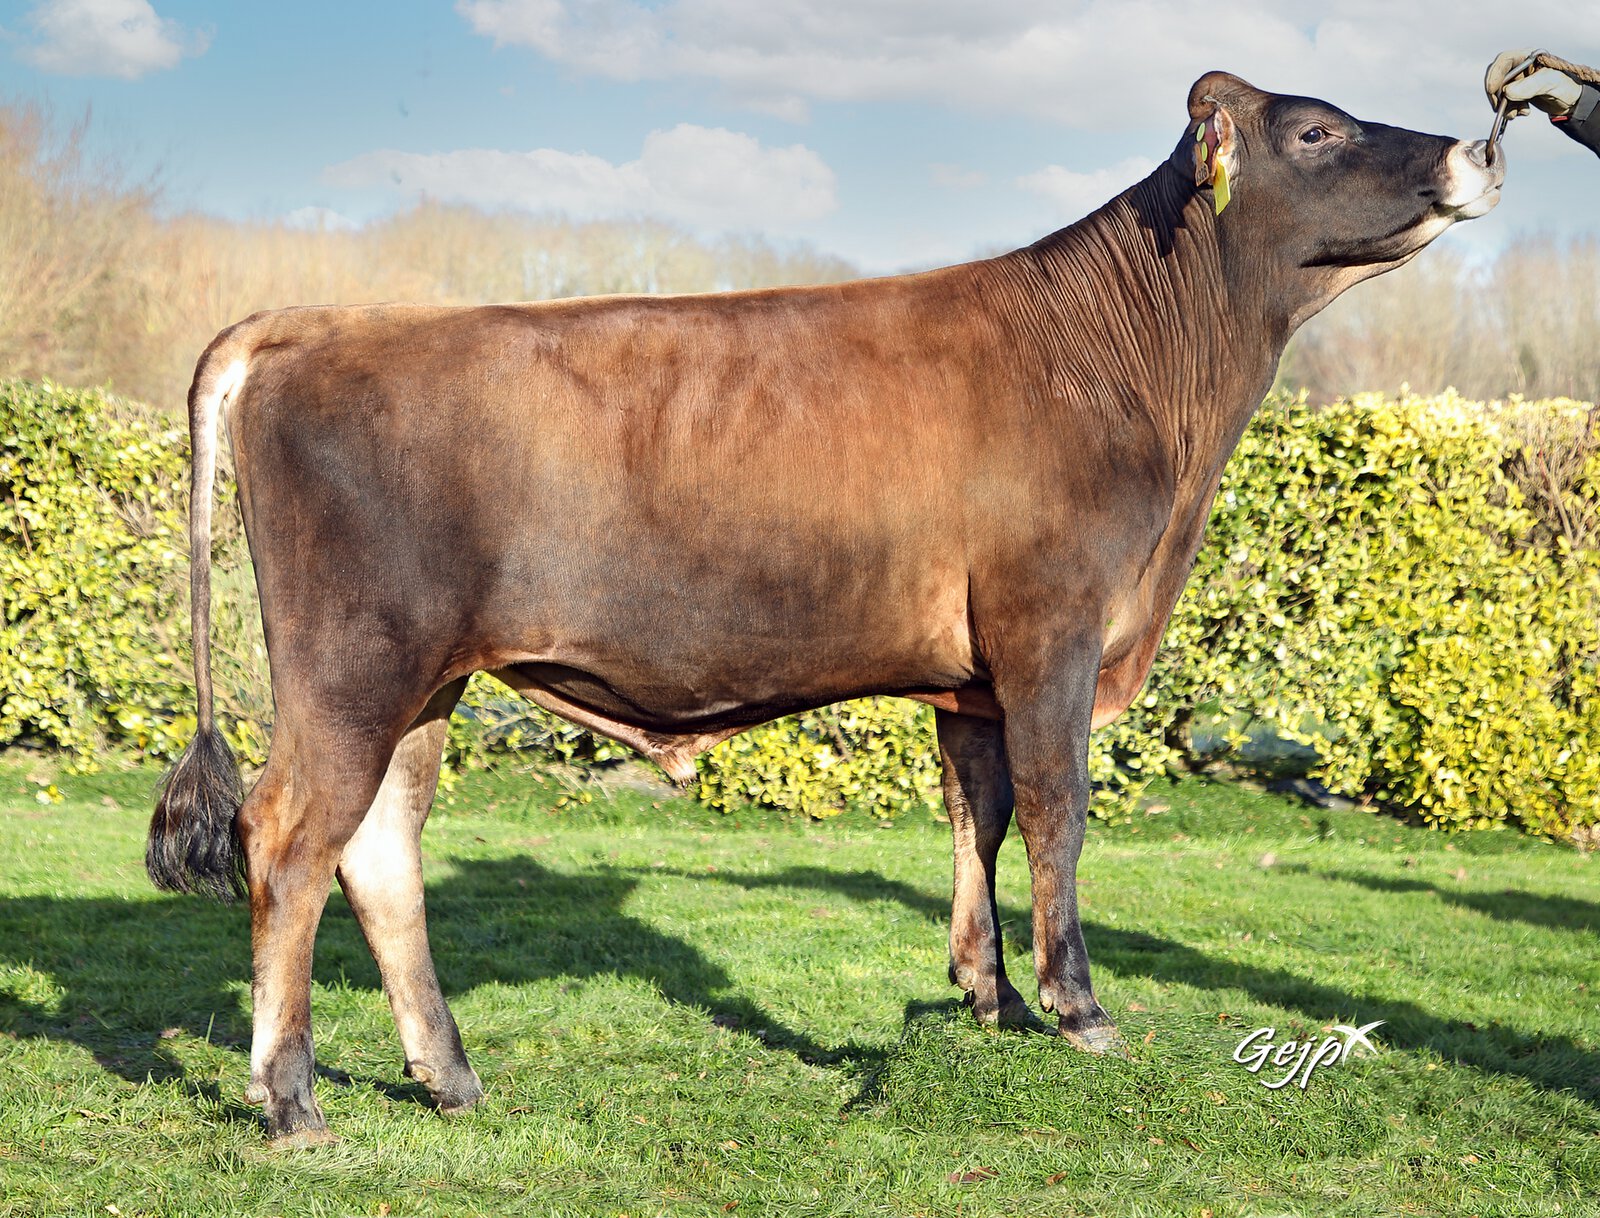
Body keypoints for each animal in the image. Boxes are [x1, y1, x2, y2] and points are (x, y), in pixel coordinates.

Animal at [148, 71, 1503, 1142]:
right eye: (1315, 132)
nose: (1476, 150)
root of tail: (315, 322)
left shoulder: (972, 677)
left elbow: (978, 818)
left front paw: (987, 1002)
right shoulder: (1052, 630)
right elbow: (1058, 812)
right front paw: (1079, 1011)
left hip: (423, 682)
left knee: (379, 851)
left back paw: (452, 1081)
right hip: (353, 663)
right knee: (289, 840)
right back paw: (292, 1101)